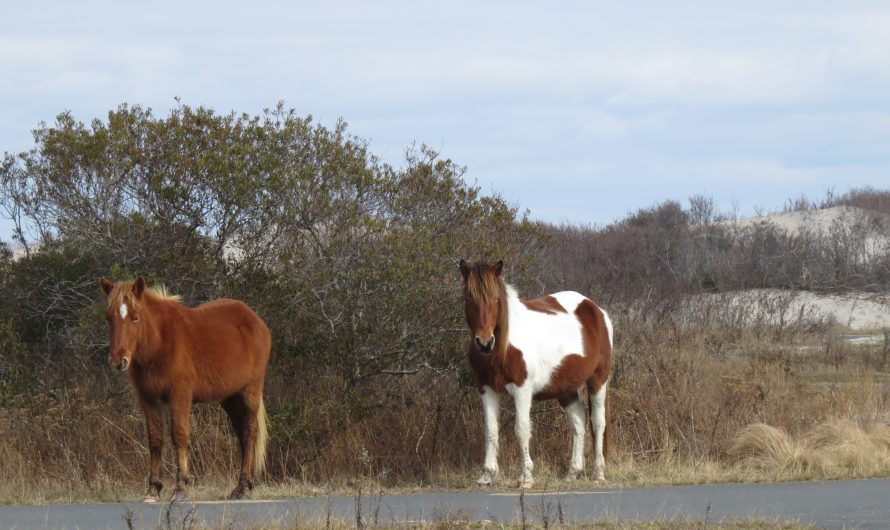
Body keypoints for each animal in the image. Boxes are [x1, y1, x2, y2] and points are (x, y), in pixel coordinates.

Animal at [100, 276, 270, 500]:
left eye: (135, 317)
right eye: (108, 318)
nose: (118, 360)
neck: (161, 342)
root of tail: (255, 320)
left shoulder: (179, 396)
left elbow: (179, 435)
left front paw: (181, 487)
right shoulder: (148, 400)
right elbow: (155, 439)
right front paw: (153, 489)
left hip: (250, 391)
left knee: (250, 433)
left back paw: (242, 487)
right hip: (230, 399)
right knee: (242, 434)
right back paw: (243, 485)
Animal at [458, 260, 612, 486]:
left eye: (496, 299)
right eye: (468, 299)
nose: (484, 343)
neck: (504, 346)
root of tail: (596, 310)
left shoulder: (522, 389)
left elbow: (521, 429)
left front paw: (526, 477)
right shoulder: (487, 389)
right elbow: (491, 430)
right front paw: (486, 476)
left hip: (598, 380)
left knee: (598, 422)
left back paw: (598, 473)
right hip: (565, 388)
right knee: (578, 421)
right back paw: (573, 472)